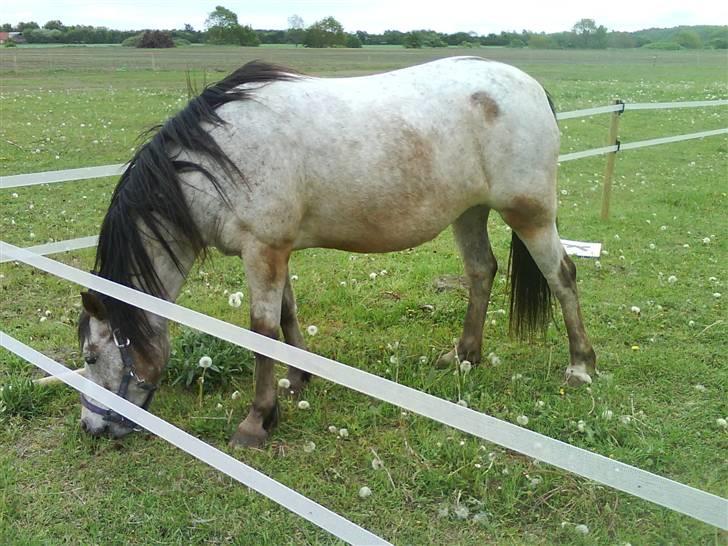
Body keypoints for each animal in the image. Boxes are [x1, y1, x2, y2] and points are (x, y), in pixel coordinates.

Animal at [77, 55, 596, 446]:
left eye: (90, 357)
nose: (92, 427)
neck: (216, 161)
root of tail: (531, 86)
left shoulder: (262, 250)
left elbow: (261, 330)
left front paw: (257, 420)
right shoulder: (277, 250)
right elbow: (286, 315)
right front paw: (297, 380)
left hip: (529, 215)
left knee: (563, 275)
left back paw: (580, 366)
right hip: (469, 212)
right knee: (481, 271)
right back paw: (464, 356)